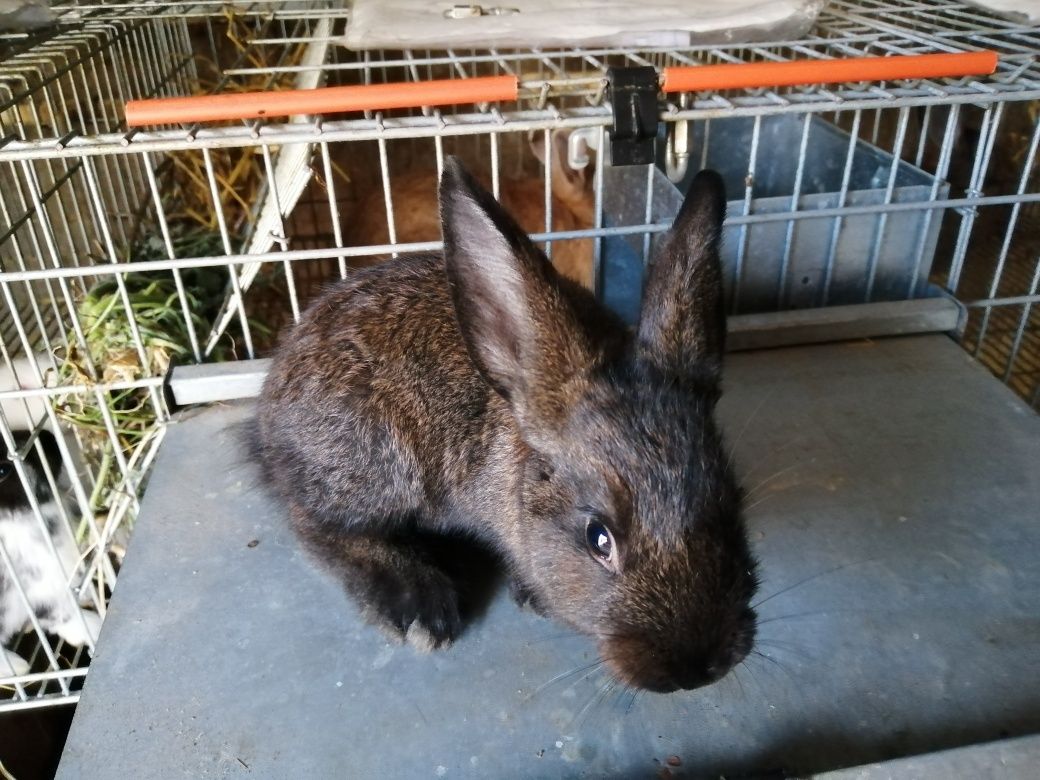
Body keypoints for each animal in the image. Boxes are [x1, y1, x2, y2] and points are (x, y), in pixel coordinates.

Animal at [251, 157, 757, 690]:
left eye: (732, 503)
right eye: (598, 538)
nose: (697, 669)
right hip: (374, 465)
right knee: (315, 523)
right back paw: (420, 607)